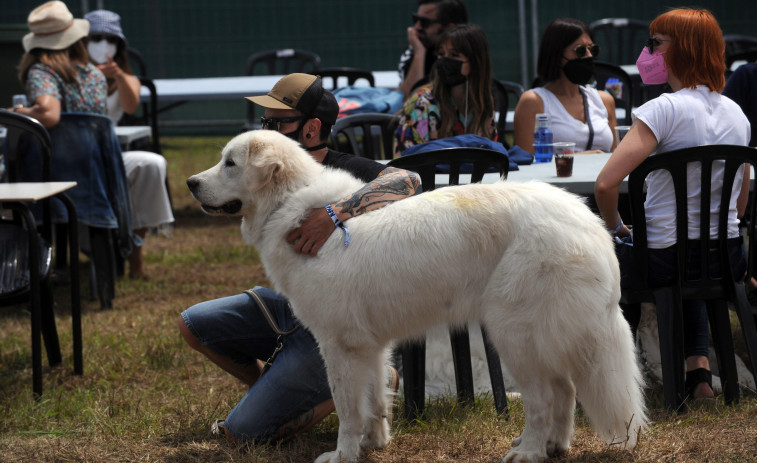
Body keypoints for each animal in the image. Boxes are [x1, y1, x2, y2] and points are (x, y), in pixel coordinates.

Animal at [186, 131, 648, 463]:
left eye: (230, 163)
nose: (190, 182)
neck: (288, 208)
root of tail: (589, 224)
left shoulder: (338, 345)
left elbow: (348, 407)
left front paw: (343, 453)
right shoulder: (370, 345)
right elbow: (375, 397)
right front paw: (374, 444)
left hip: (513, 331)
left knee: (543, 397)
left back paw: (529, 451)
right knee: (565, 389)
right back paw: (553, 447)